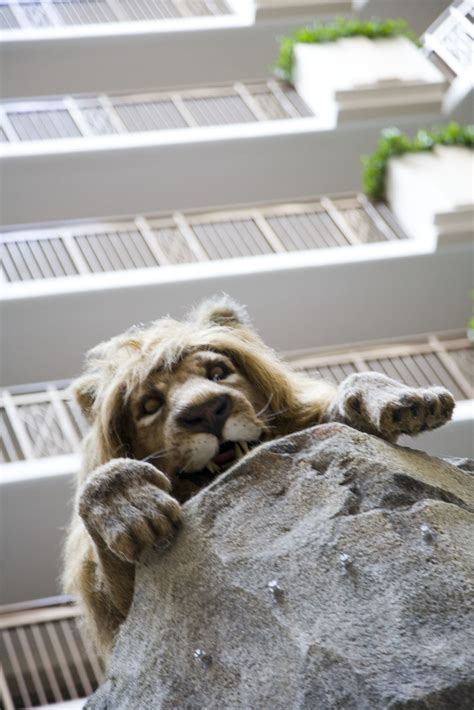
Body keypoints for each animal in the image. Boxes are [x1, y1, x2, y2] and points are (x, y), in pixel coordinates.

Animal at [64, 298, 456, 660]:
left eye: (218, 372)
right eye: (149, 405)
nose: (207, 410)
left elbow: (351, 394)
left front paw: (407, 401)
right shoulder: (125, 616)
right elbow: (103, 491)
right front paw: (129, 505)